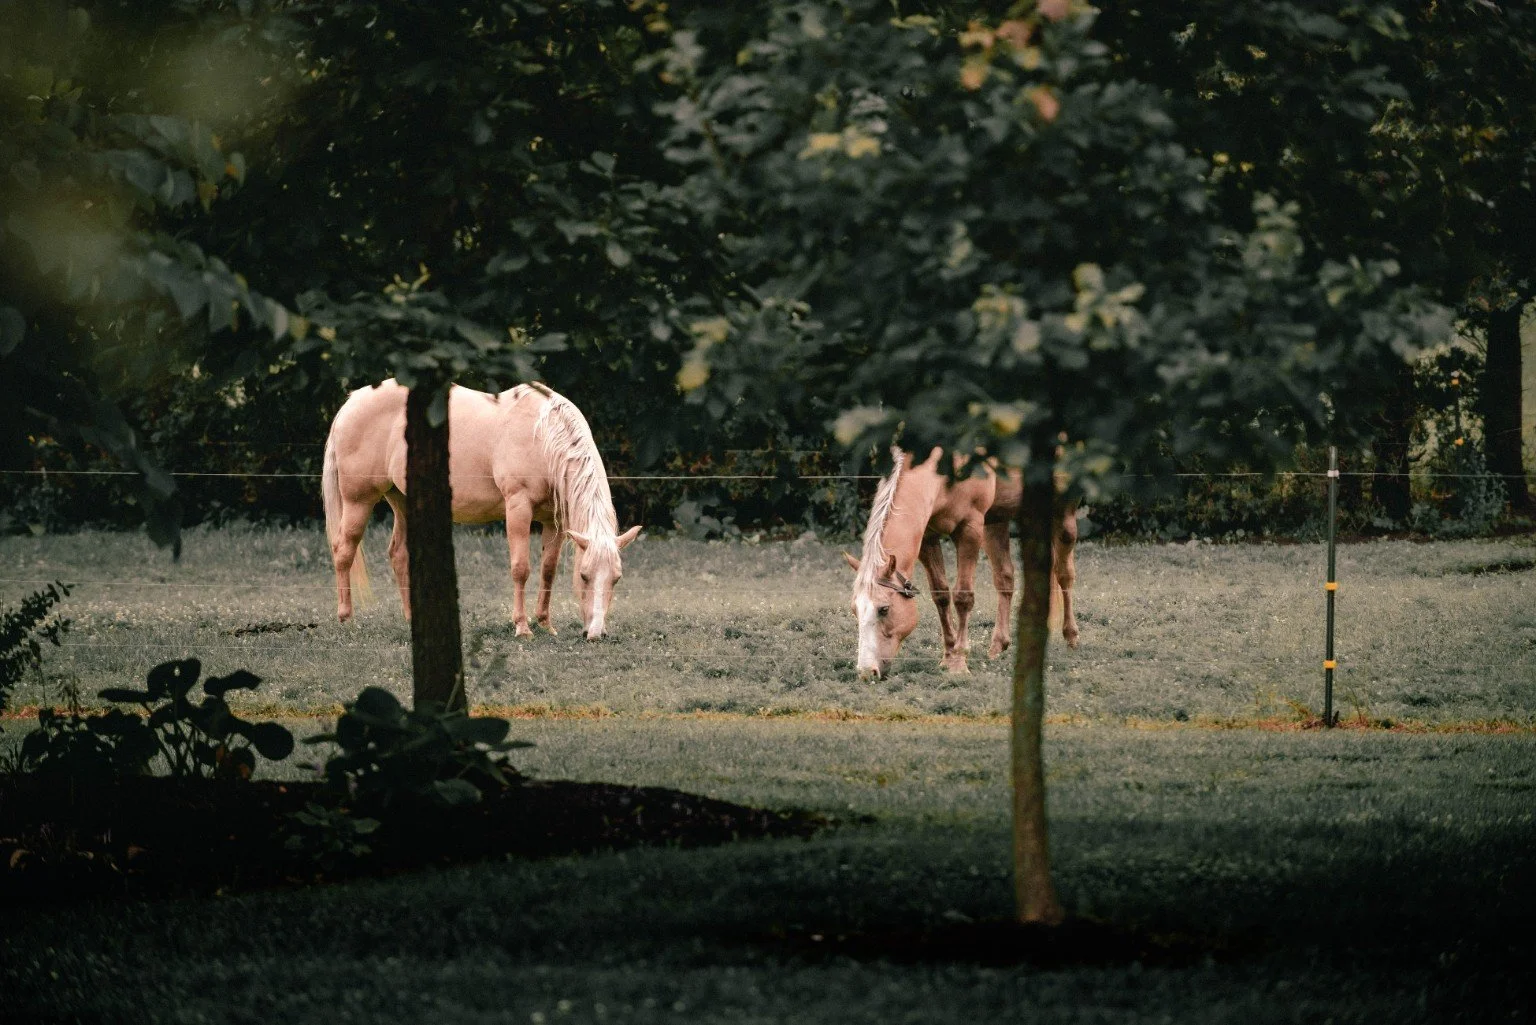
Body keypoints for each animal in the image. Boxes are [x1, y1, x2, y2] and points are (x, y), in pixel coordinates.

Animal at [322, 379, 642, 640]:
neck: (542, 437)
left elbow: (547, 570)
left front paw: (545, 624)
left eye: (616, 578)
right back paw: (345, 618)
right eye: (585, 576)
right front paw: (522, 627)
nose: (596, 634)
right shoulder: (518, 508)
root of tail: (352, 402)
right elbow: (521, 568)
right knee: (344, 550)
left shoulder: (554, 523)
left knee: (398, 554)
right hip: (359, 501)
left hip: (401, 500)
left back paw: (411, 620)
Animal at [842, 447, 1079, 679]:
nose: (866, 672)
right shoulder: (928, 537)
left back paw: (1071, 637)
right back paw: (998, 645)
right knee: (1005, 577)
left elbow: (963, 597)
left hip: (1063, 515)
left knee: (1064, 574)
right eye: (855, 609)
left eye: (884, 609)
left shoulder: (969, 530)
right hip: (996, 522)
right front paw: (948, 655)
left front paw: (958, 661)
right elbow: (941, 595)